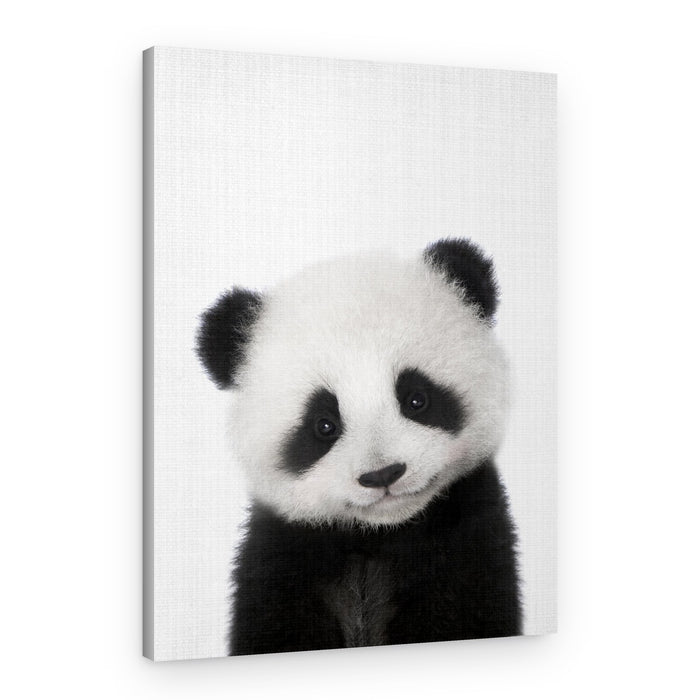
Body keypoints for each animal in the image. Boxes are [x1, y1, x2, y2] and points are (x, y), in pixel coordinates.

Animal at [196, 238, 521, 655]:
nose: (382, 474)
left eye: (416, 399)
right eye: (324, 425)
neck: (378, 535)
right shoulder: (281, 558)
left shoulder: (467, 540)